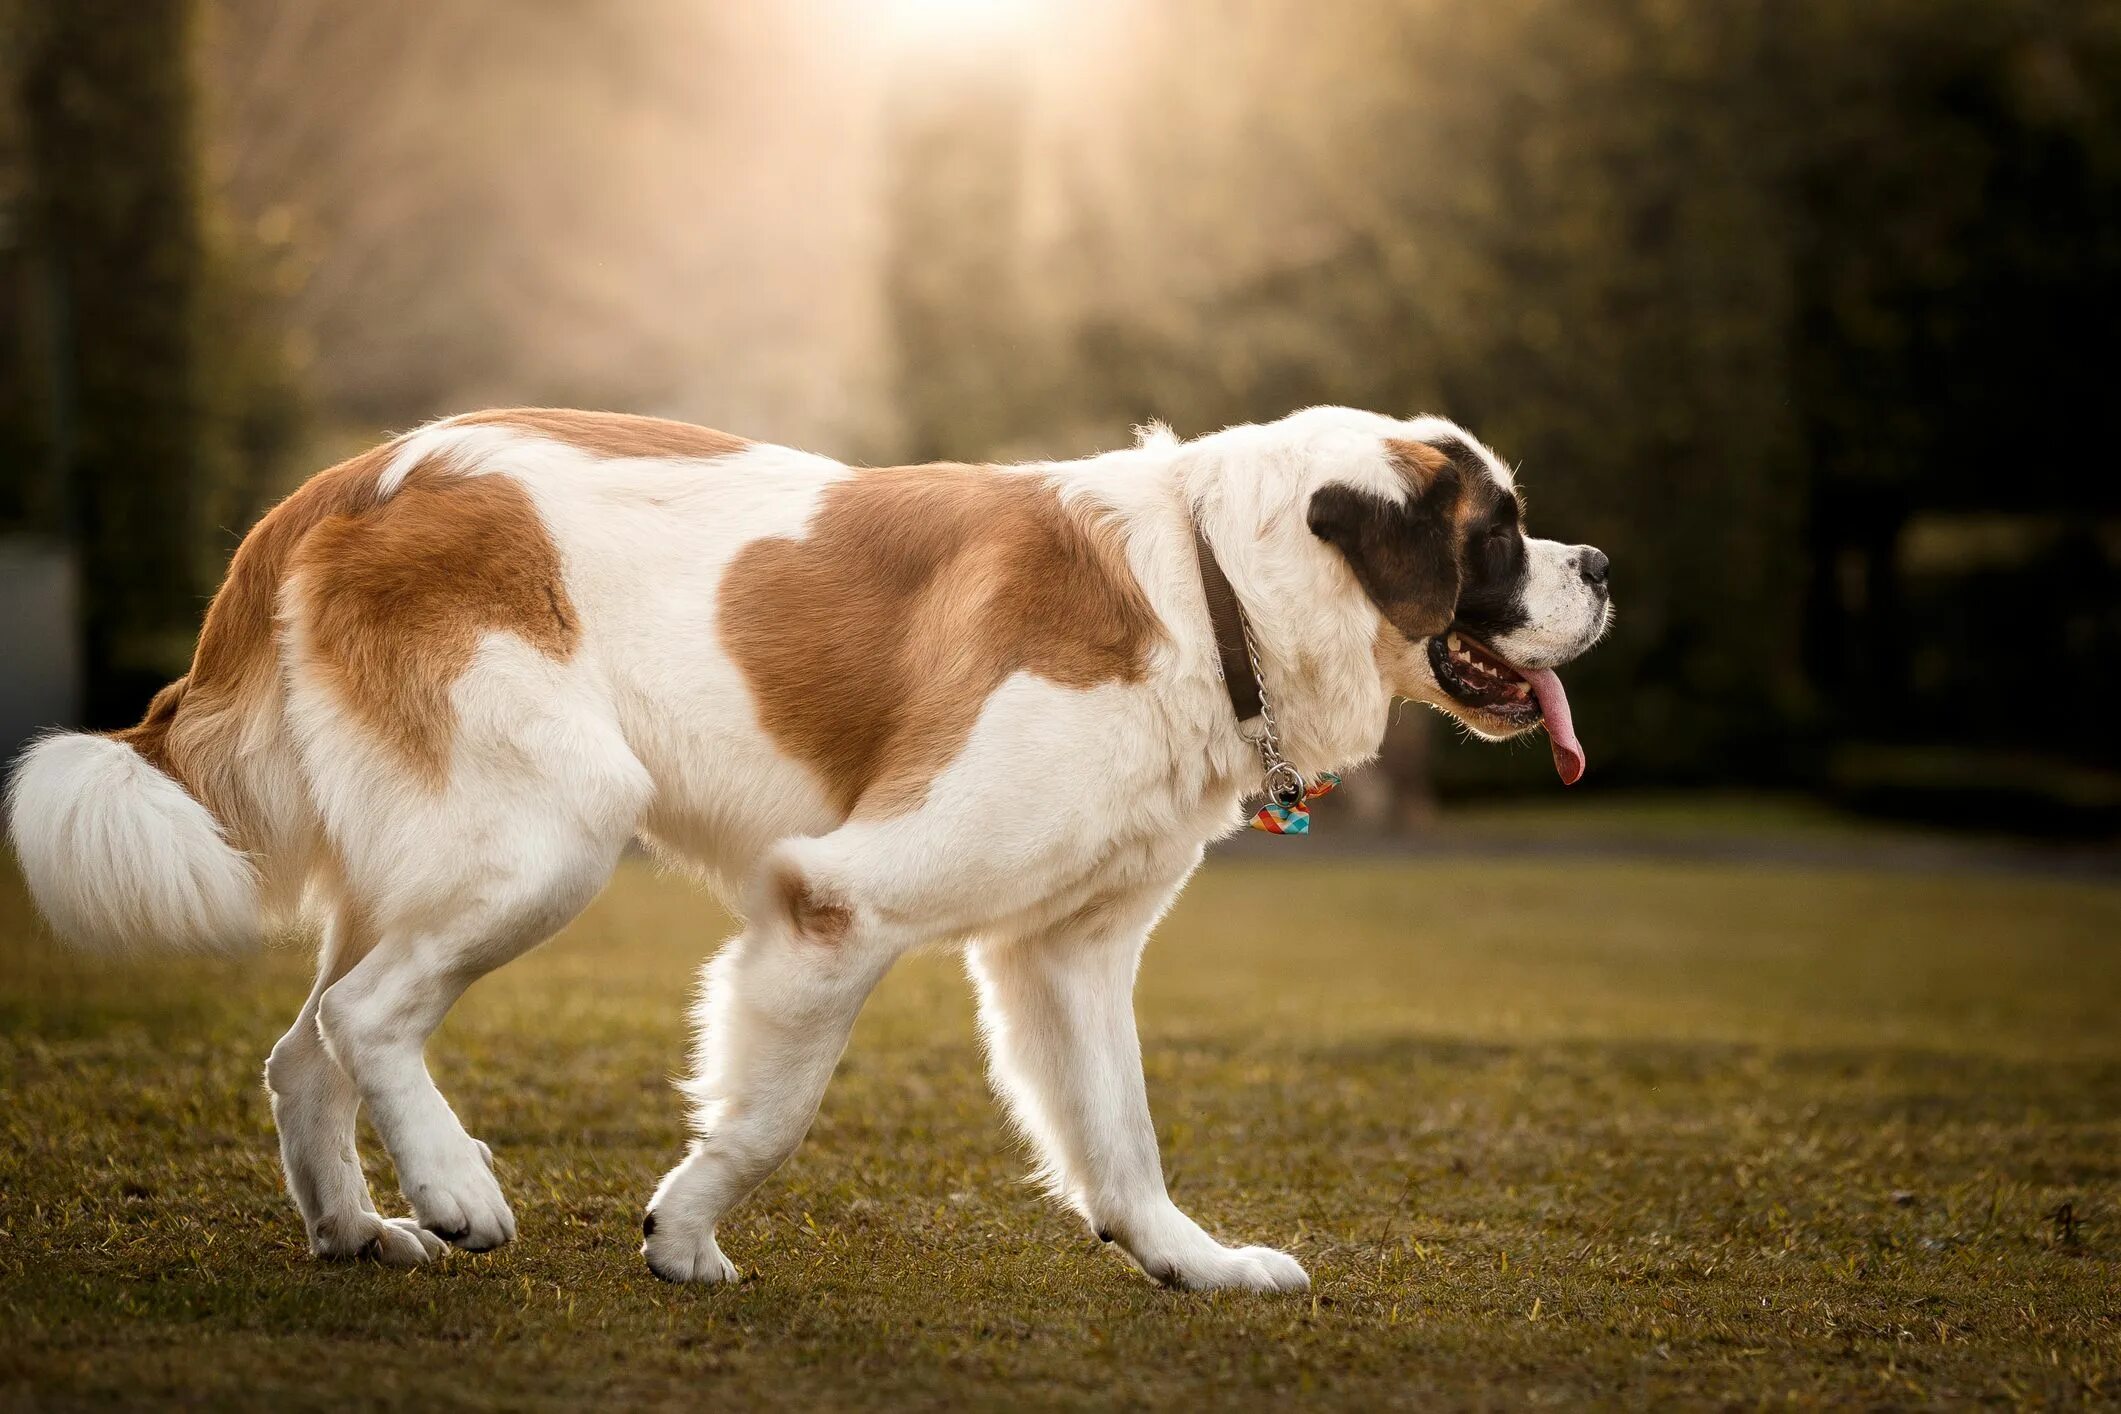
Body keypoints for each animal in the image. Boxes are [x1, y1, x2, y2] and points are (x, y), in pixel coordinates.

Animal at [8, 407, 1611, 1297]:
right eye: (1498, 535)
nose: (1598, 565)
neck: (1205, 584)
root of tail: (350, 480)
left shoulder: (1067, 953)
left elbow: (1120, 1130)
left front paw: (1185, 1260)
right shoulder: (838, 901)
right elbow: (772, 1112)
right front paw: (683, 1233)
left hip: (436, 854)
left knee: (306, 1045)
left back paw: (357, 1227)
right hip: (553, 828)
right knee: (365, 1013)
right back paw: (456, 1190)